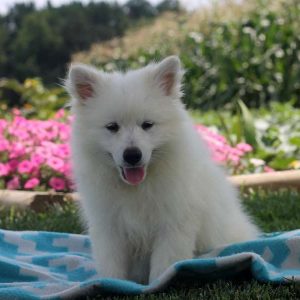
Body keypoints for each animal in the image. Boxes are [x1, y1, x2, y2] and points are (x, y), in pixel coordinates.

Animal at [65, 56, 258, 284]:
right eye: (112, 127)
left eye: (147, 124)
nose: (132, 155)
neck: (137, 188)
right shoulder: (109, 227)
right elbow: (111, 264)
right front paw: (111, 283)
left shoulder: (173, 224)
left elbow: (164, 264)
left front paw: (160, 283)